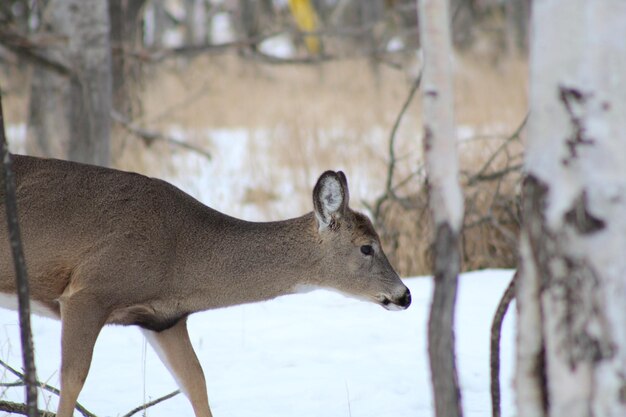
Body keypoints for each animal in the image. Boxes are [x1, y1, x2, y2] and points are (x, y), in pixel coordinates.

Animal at [1, 155, 410, 416]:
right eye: (367, 247)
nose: (404, 295)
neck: (180, 255)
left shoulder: (163, 319)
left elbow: (197, 385)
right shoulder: (87, 292)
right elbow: (72, 380)